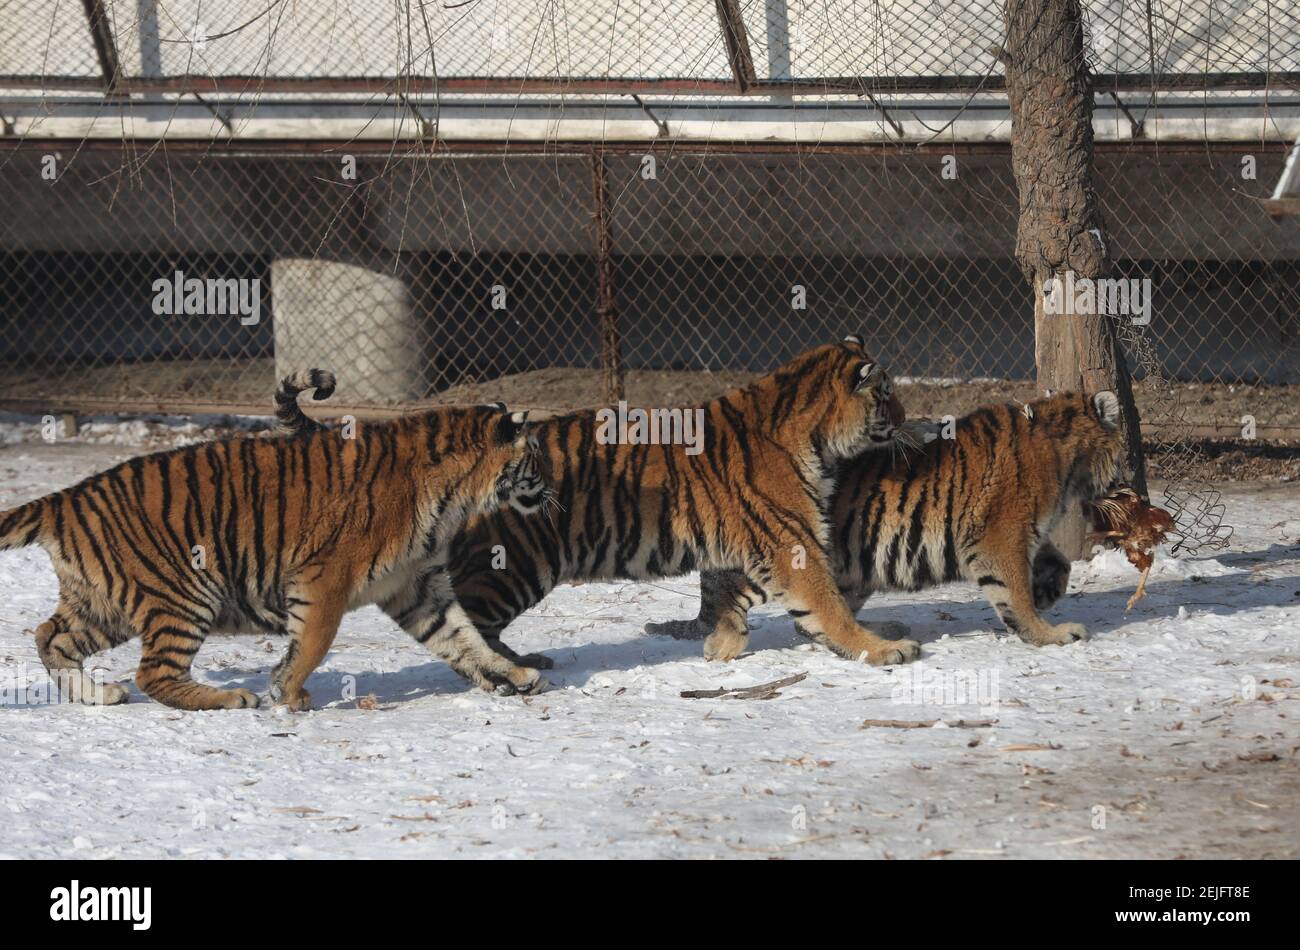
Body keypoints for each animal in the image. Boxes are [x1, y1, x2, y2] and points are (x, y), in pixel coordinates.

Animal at [0, 405, 546, 712]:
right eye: (536, 456)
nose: (550, 488)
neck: (456, 495)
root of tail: (66, 497)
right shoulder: (325, 578)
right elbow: (312, 644)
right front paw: (288, 693)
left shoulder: (418, 584)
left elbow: (464, 638)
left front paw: (513, 675)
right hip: (183, 593)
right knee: (154, 673)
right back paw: (228, 698)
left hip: (104, 603)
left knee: (49, 635)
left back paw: (96, 695)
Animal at [274, 337, 925, 670]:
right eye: (887, 396)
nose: (908, 418)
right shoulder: (793, 539)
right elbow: (829, 604)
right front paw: (881, 648)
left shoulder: (742, 539)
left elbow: (724, 593)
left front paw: (721, 645)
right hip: (516, 565)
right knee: (471, 618)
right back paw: (518, 665)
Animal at [647, 387, 1128, 654]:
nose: (1129, 483)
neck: (1067, 459)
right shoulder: (1001, 534)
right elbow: (1017, 595)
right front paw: (1049, 632)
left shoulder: (1022, 533)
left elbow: (1057, 563)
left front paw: (1048, 592)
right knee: (740, 600)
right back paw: (722, 644)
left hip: (852, 568)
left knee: (814, 619)